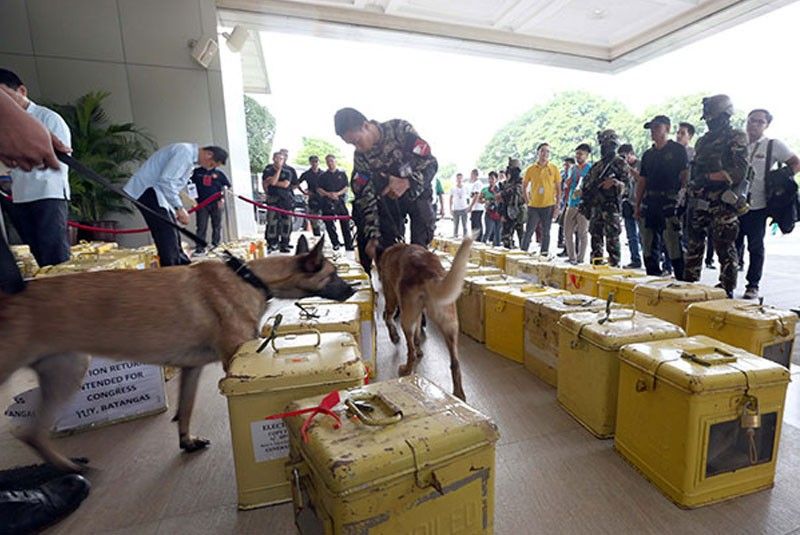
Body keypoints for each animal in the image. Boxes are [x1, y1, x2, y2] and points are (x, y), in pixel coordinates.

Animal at [0, 237, 352, 472]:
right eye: (333, 274)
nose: (350, 289)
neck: (250, 277)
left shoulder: (191, 368)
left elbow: (186, 407)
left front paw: (187, 440)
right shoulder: (232, 358)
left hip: (64, 370)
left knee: (32, 432)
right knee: (32, 432)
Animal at [376, 237, 472, 400]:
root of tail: (429, 272)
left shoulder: (391, 298)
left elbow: (388, 319)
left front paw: (394, 336)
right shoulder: (419, 314)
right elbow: (417, 334)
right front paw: (419, 347)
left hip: (405, 318)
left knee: (411, 352)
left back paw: (406, 370)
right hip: (450, 325)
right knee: (455, 363)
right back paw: (459, 394)